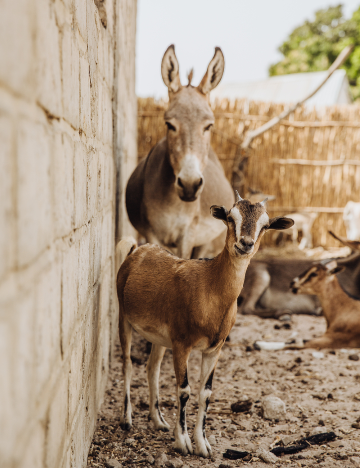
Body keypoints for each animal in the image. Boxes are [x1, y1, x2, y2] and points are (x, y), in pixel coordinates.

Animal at [116, 195, 292, 458]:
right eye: (230, 217)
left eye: (265, 225)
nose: (246, 244)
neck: (209, 288)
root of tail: (137, 250)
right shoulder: (182, 344)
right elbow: (184, 390)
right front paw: (183, 442)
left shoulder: (213, 349)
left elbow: (205, 392)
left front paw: (203, 445)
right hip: (123, 318)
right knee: (127, 363)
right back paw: (127, 420)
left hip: (159, 338)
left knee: (151, 368)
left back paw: (158, 420)